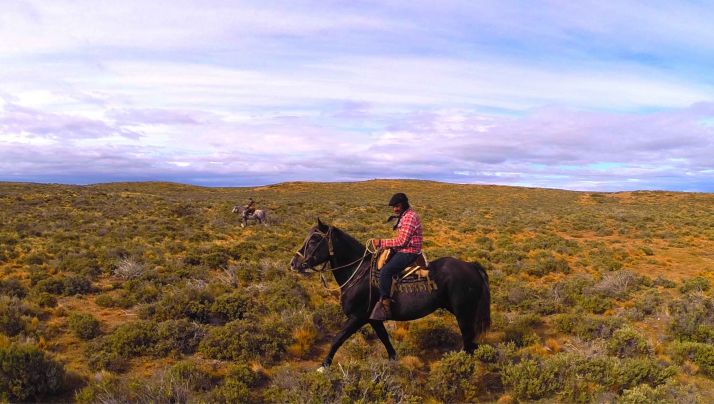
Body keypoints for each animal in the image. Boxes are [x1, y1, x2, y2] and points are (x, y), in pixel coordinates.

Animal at [290, 219, 490, 370]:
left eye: (314, 240)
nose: (294, 263)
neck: (358, 271)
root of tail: (471, 265)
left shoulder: (357, 317)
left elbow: (337, 339)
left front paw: (324, 366)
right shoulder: (373, 319)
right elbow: (385, 338)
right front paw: (394, 360)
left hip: (464, 314)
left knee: (469, 342)